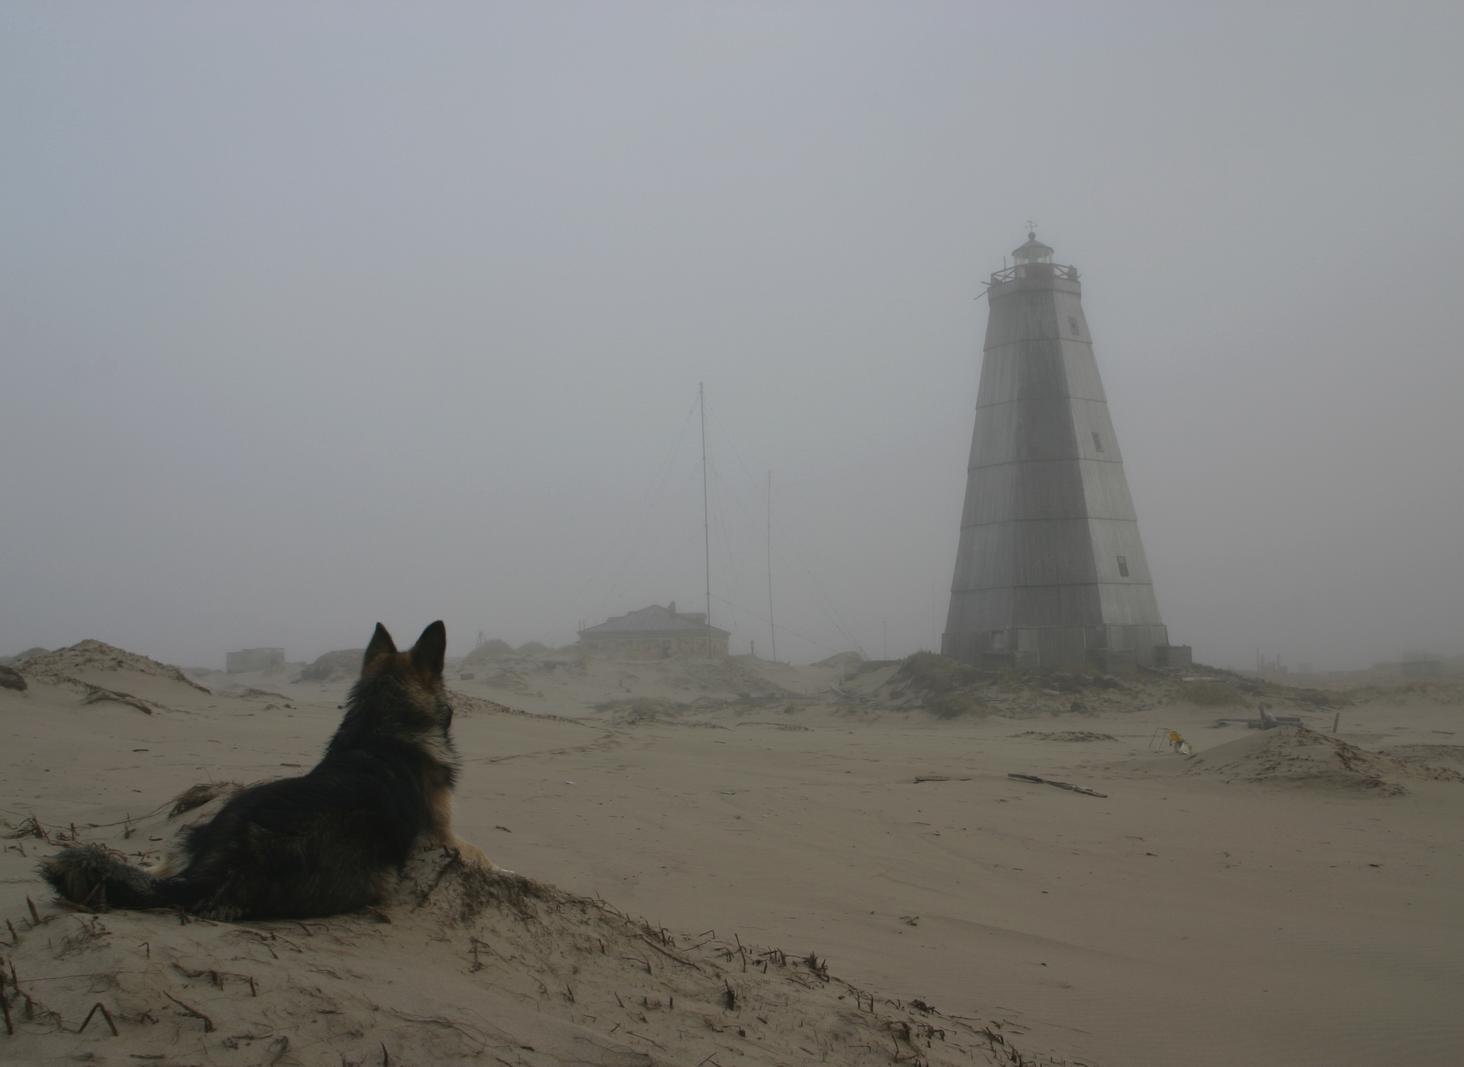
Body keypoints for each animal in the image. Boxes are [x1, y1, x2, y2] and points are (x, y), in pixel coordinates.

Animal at [37, 620, 486, 919]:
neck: (381, 724)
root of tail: (220, 862)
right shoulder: (444, 836)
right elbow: (481, 852)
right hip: (374, 876)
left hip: (199, 830)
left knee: (150, 870)